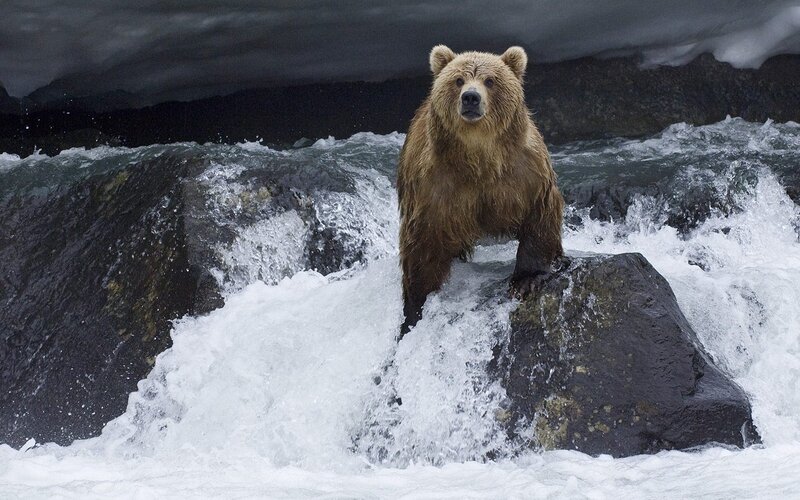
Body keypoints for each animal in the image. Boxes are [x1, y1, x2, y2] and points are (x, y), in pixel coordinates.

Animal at [397, 45, 564, 337]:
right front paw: (415, 306)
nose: (471, 98)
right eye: (458, 80)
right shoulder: (434, 186)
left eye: (490, 80)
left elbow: (539, 216)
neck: (479, 157)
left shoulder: (525, 172)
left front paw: (526, 280)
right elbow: (422, 242)